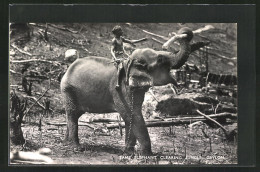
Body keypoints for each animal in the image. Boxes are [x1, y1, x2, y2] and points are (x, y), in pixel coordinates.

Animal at [60, 27, 208, 155]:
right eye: (161, 60)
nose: (165, 46)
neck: (129, 62)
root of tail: (68, 68)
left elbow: (131, 115)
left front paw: (128, 152)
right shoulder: (120, 90)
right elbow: (132, 114)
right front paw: (148, 156)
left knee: (74, 114)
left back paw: (66, 142)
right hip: (68, 90)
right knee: (72, 114)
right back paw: (76, 147)